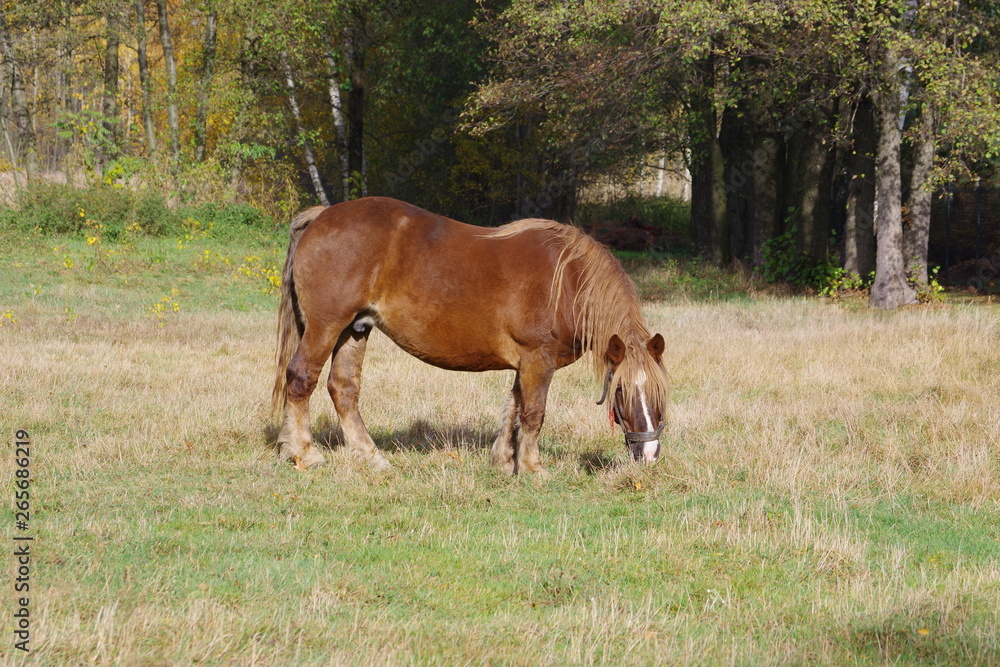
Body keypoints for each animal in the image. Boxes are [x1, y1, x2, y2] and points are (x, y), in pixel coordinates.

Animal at [271, 197, 669, 475]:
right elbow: (533, 413)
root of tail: (322, 216)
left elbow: (514, 407)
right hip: (326, 327)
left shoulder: (525, 363)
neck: (568, 280)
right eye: (620, 391)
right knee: (301, 379)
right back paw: (305, 452)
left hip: (354, 331)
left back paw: (372, 458)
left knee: (343, 389)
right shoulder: (538, 359)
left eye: (660, 394)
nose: (649, 455)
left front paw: (504, 460)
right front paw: (533, 469)